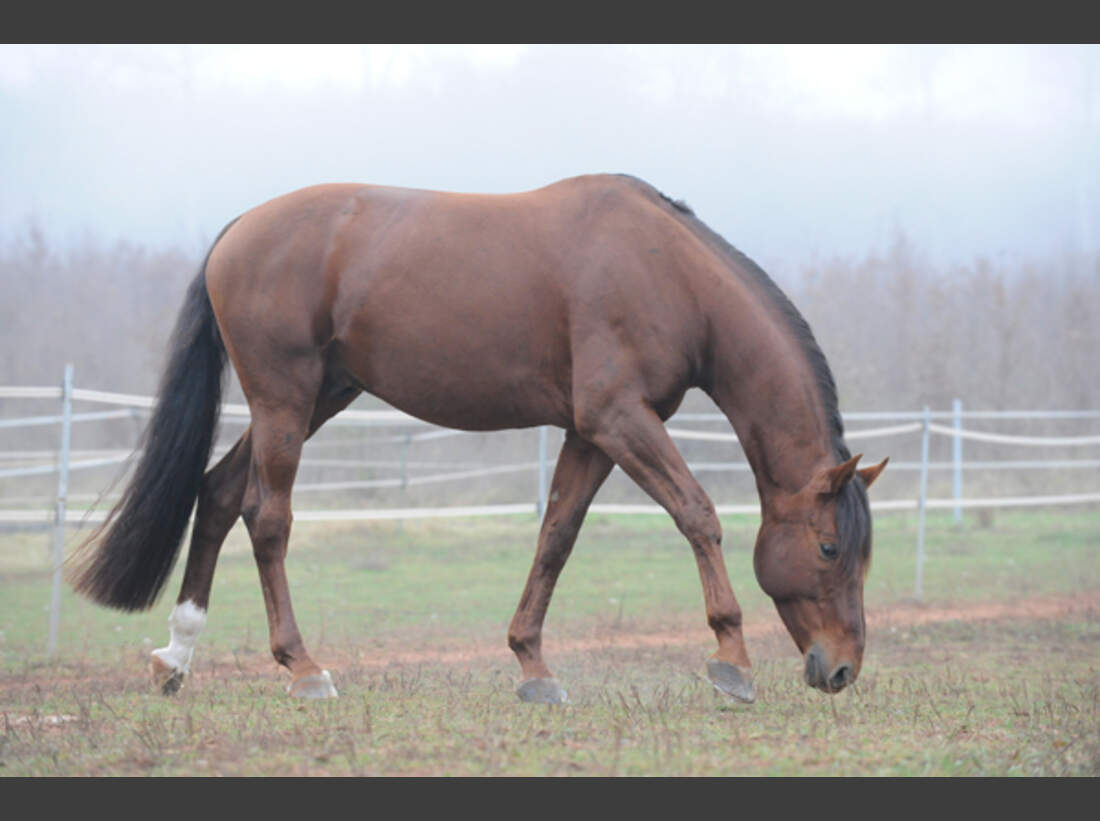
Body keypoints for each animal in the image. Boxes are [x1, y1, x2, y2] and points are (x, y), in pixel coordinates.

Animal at [69, 174, 887, 704]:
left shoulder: (591, 434)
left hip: (317, 398)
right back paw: (304, 669)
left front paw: (534, 667)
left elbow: (556, 537)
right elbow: (699, 516)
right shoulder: (619, 418)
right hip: (285, 400)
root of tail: (238, 229)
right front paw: (732, 659)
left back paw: (177, 655)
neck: (670, 274)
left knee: (216, 494)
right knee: (265, 519)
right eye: (828, 549)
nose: (843, 667)